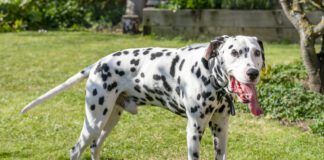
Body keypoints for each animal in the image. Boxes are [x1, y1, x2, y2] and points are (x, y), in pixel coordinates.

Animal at [22, 35, 266, 160]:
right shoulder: (195, 128)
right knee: (76, 150)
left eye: (256, 52)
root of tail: (98, 63)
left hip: (110, 119)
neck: (209, 75)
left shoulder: (221, 128)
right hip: (94, 121)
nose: (253, 73)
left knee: (94, 147)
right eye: (234, 52)